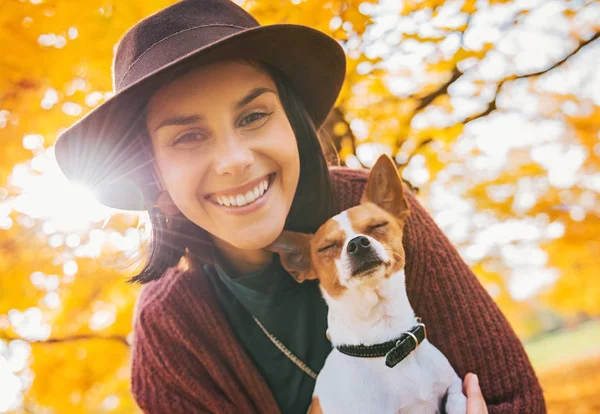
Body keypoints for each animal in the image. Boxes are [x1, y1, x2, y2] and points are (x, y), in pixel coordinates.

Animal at [268, 155, 468, 414]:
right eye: (326, 247)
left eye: (378, 226)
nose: (358, 243)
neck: (387, 343)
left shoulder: (453, 385)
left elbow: (458, 399)